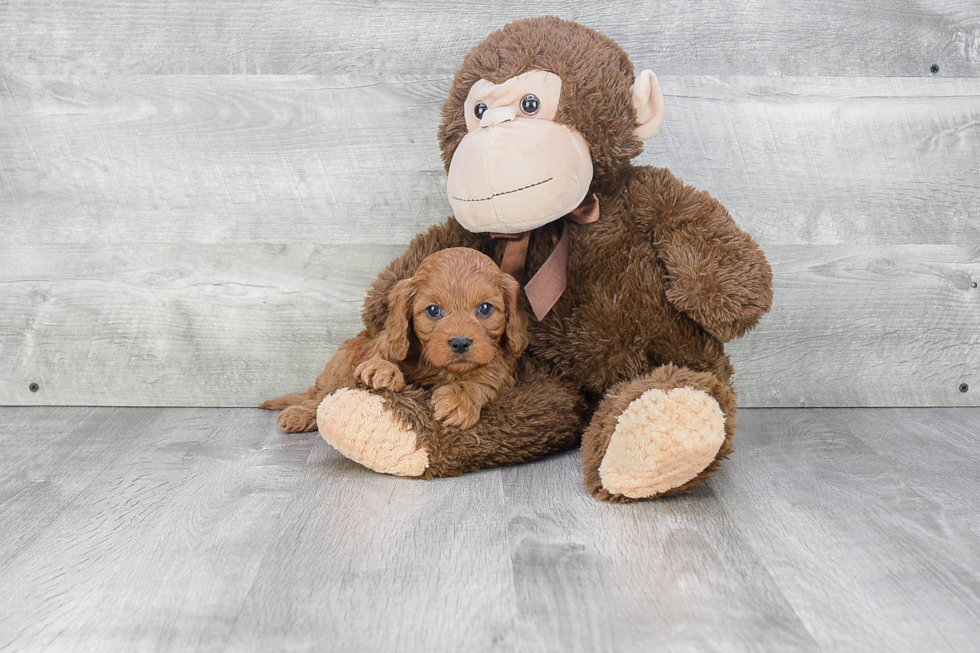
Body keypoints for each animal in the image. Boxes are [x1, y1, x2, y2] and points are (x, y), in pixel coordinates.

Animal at [262, 247, 528, 430]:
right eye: (433, 310)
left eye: (485, 308)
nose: (460, 343)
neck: (442, 370)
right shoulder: (385, 341)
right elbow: (383, 352)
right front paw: (383, 369)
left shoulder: (503, 369)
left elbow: (486, 377)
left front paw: (460, 398)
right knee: (322, 394)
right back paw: (299, 414)